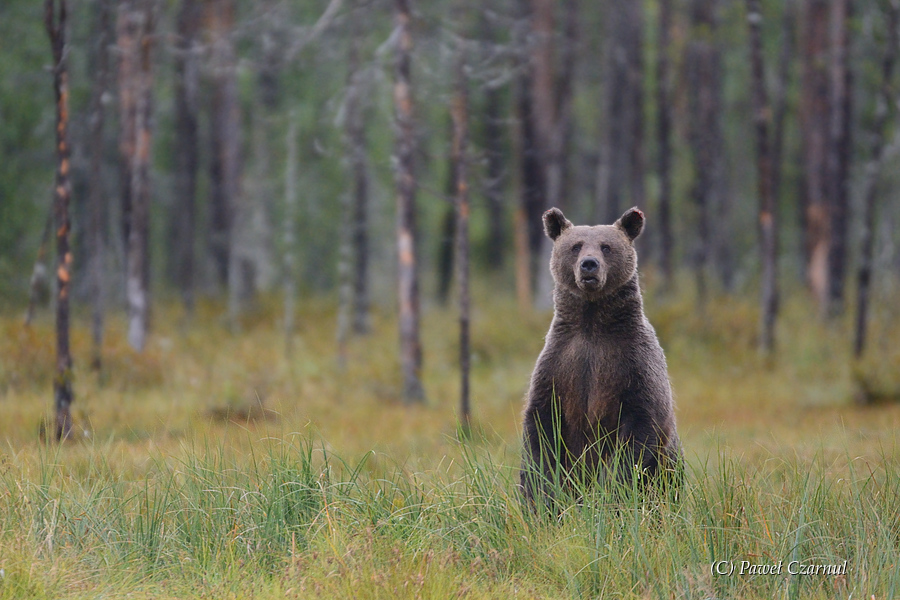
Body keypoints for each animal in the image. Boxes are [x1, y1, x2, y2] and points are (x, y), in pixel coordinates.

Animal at [520, 209, 684, 504]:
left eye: (606, 247)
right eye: (575, 246)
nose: (589, 265)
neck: (591, 324)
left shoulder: (633, 363)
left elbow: (641, 426)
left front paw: (613, 490)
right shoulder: (560, 364)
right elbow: (541, 426)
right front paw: (542, 494)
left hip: (669, 472)